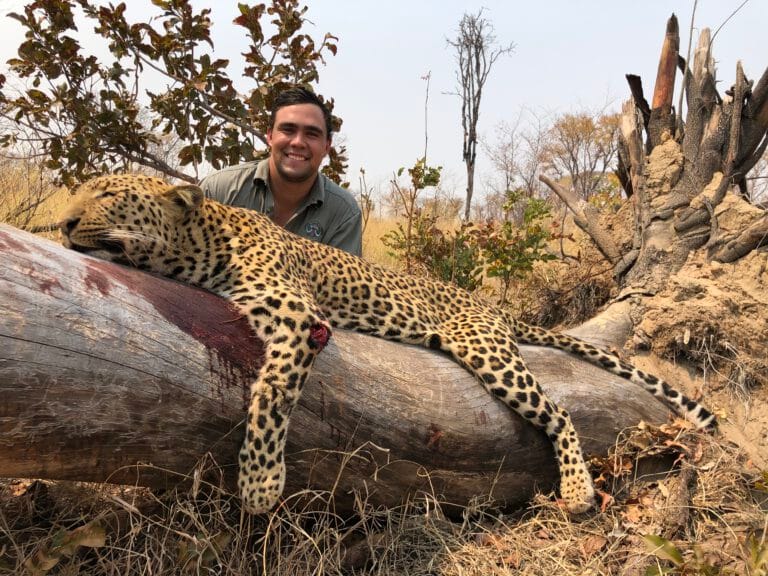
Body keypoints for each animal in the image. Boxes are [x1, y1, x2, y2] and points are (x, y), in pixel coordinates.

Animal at [59, 174, 717, 515]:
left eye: (108, 196)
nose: (62, 222)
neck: (205, 242)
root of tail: (493, 307)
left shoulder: (300, 317)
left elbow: (271, 398)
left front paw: (261, 485)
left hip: (487, 351)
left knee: (557, 410)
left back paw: (579, 491)